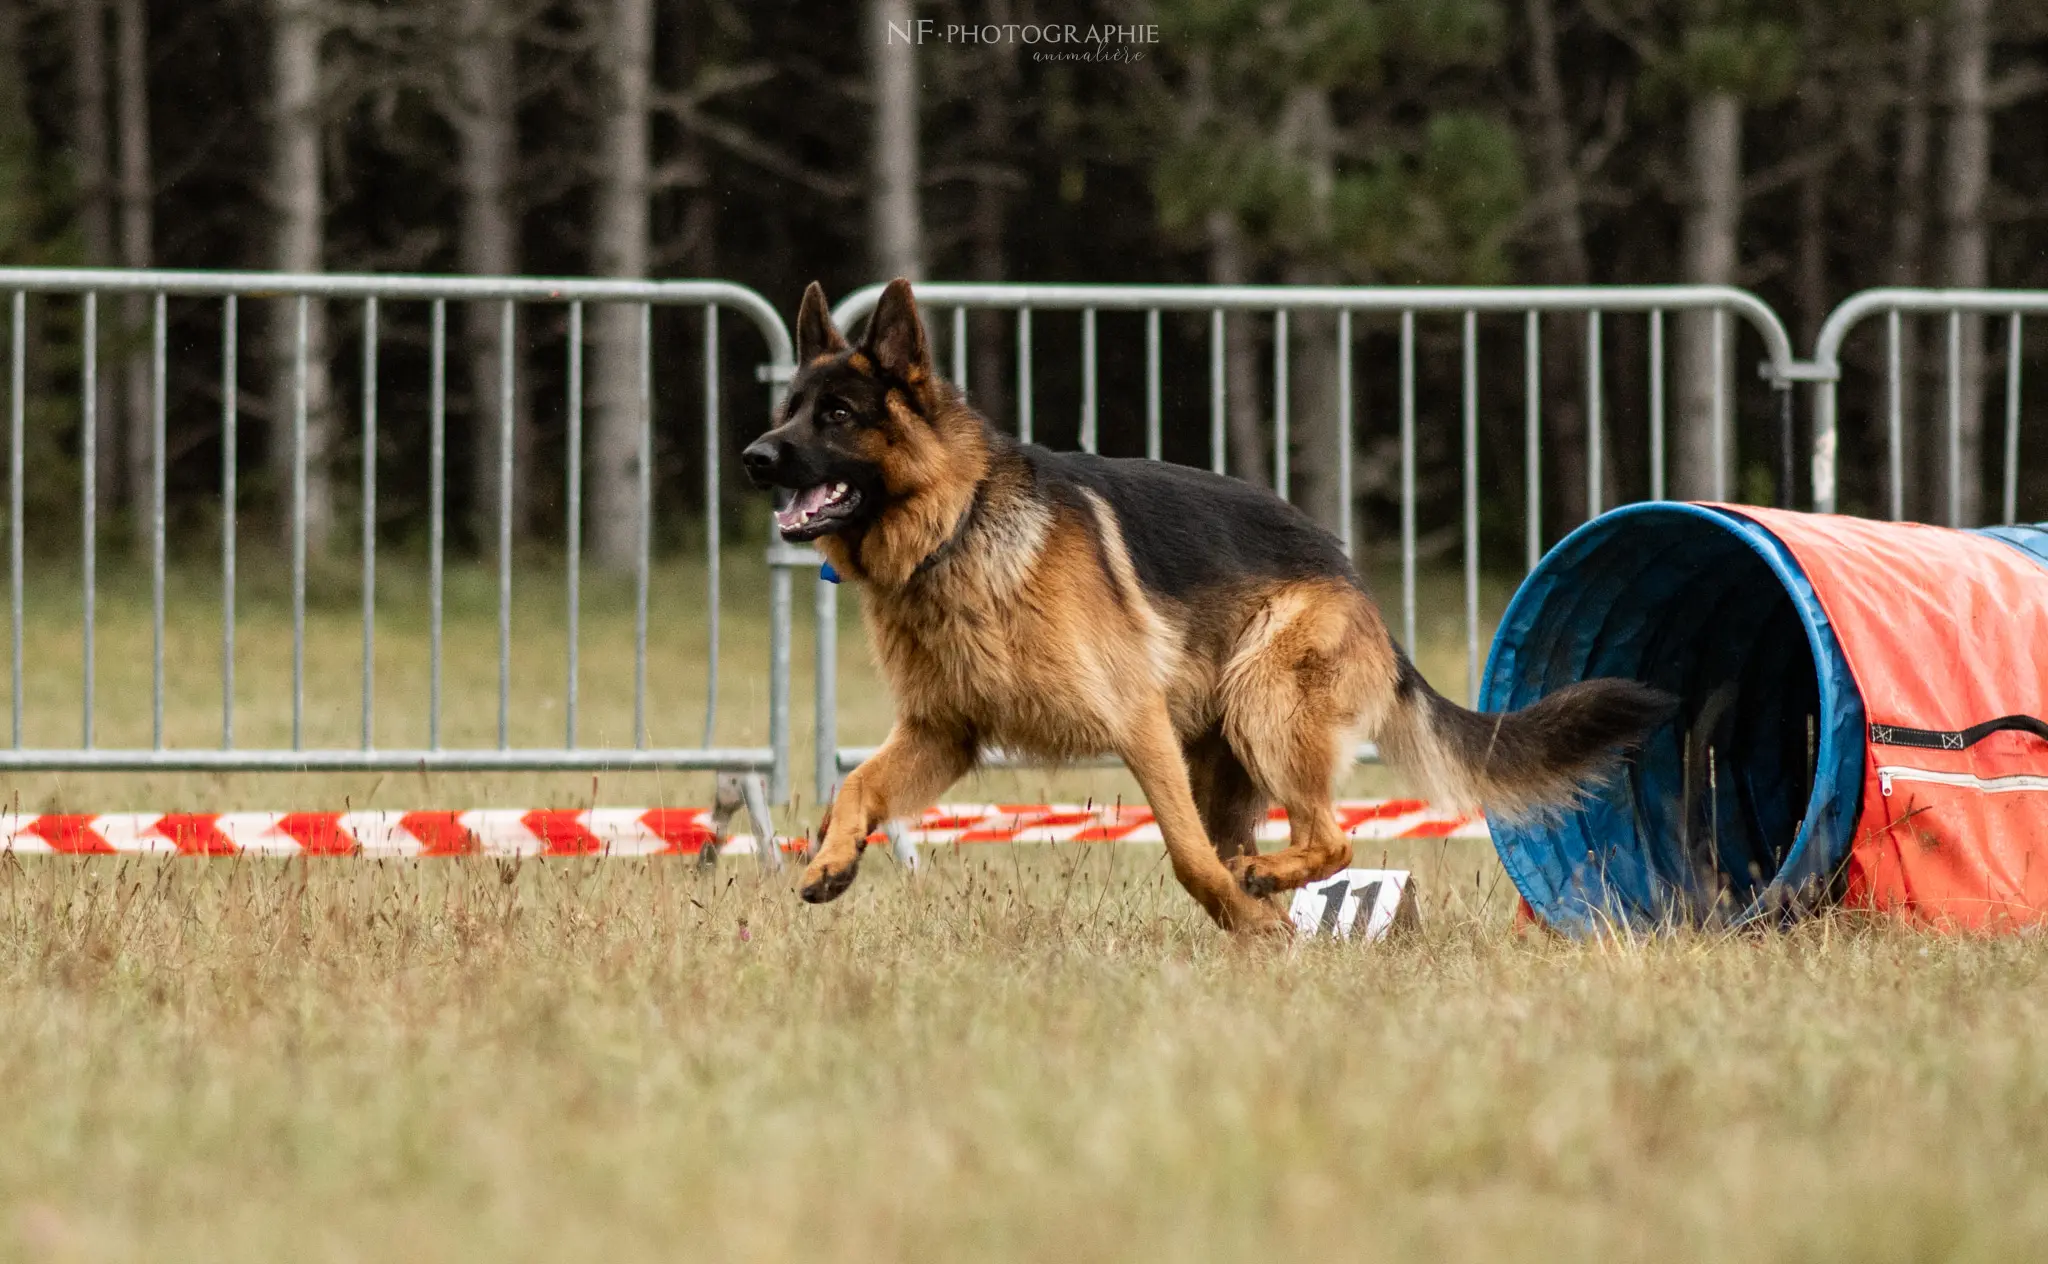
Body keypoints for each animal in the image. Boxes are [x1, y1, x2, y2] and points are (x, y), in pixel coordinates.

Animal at [745, 280, 1671, 930]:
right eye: (787, 409)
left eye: (837, 414)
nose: (753, 457)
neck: (959, 523)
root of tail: (1354, 578)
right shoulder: (944, 734)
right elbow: (857, 784)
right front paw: (831, 859)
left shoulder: (1137, 724)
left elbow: (1188, 856)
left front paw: (1240, 914)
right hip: (1226, 756)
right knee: (1281, 838)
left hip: (1265, 706)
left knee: (1326, 838)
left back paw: (1263, 894)